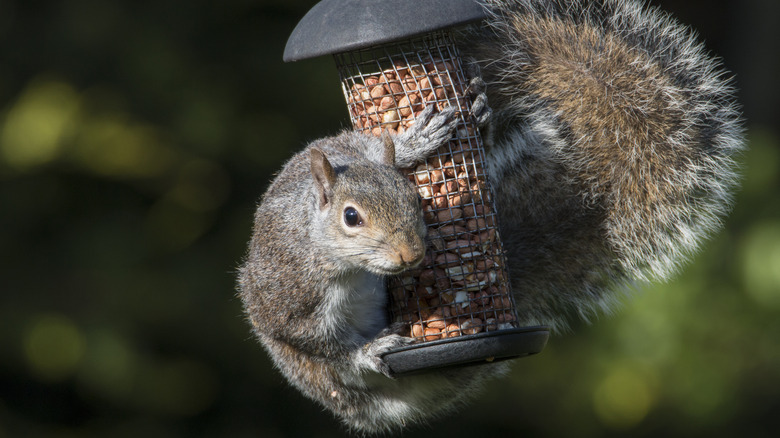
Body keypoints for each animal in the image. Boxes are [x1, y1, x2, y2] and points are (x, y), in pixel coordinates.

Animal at [236, 0, 744, 432]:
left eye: (413, 199)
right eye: (350, 218)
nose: (410, 255)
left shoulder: (349, 147)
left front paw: (416, 141)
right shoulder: (290, 297)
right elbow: (322, 345)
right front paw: (368, 350)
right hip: (318, 378)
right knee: (337, 373)